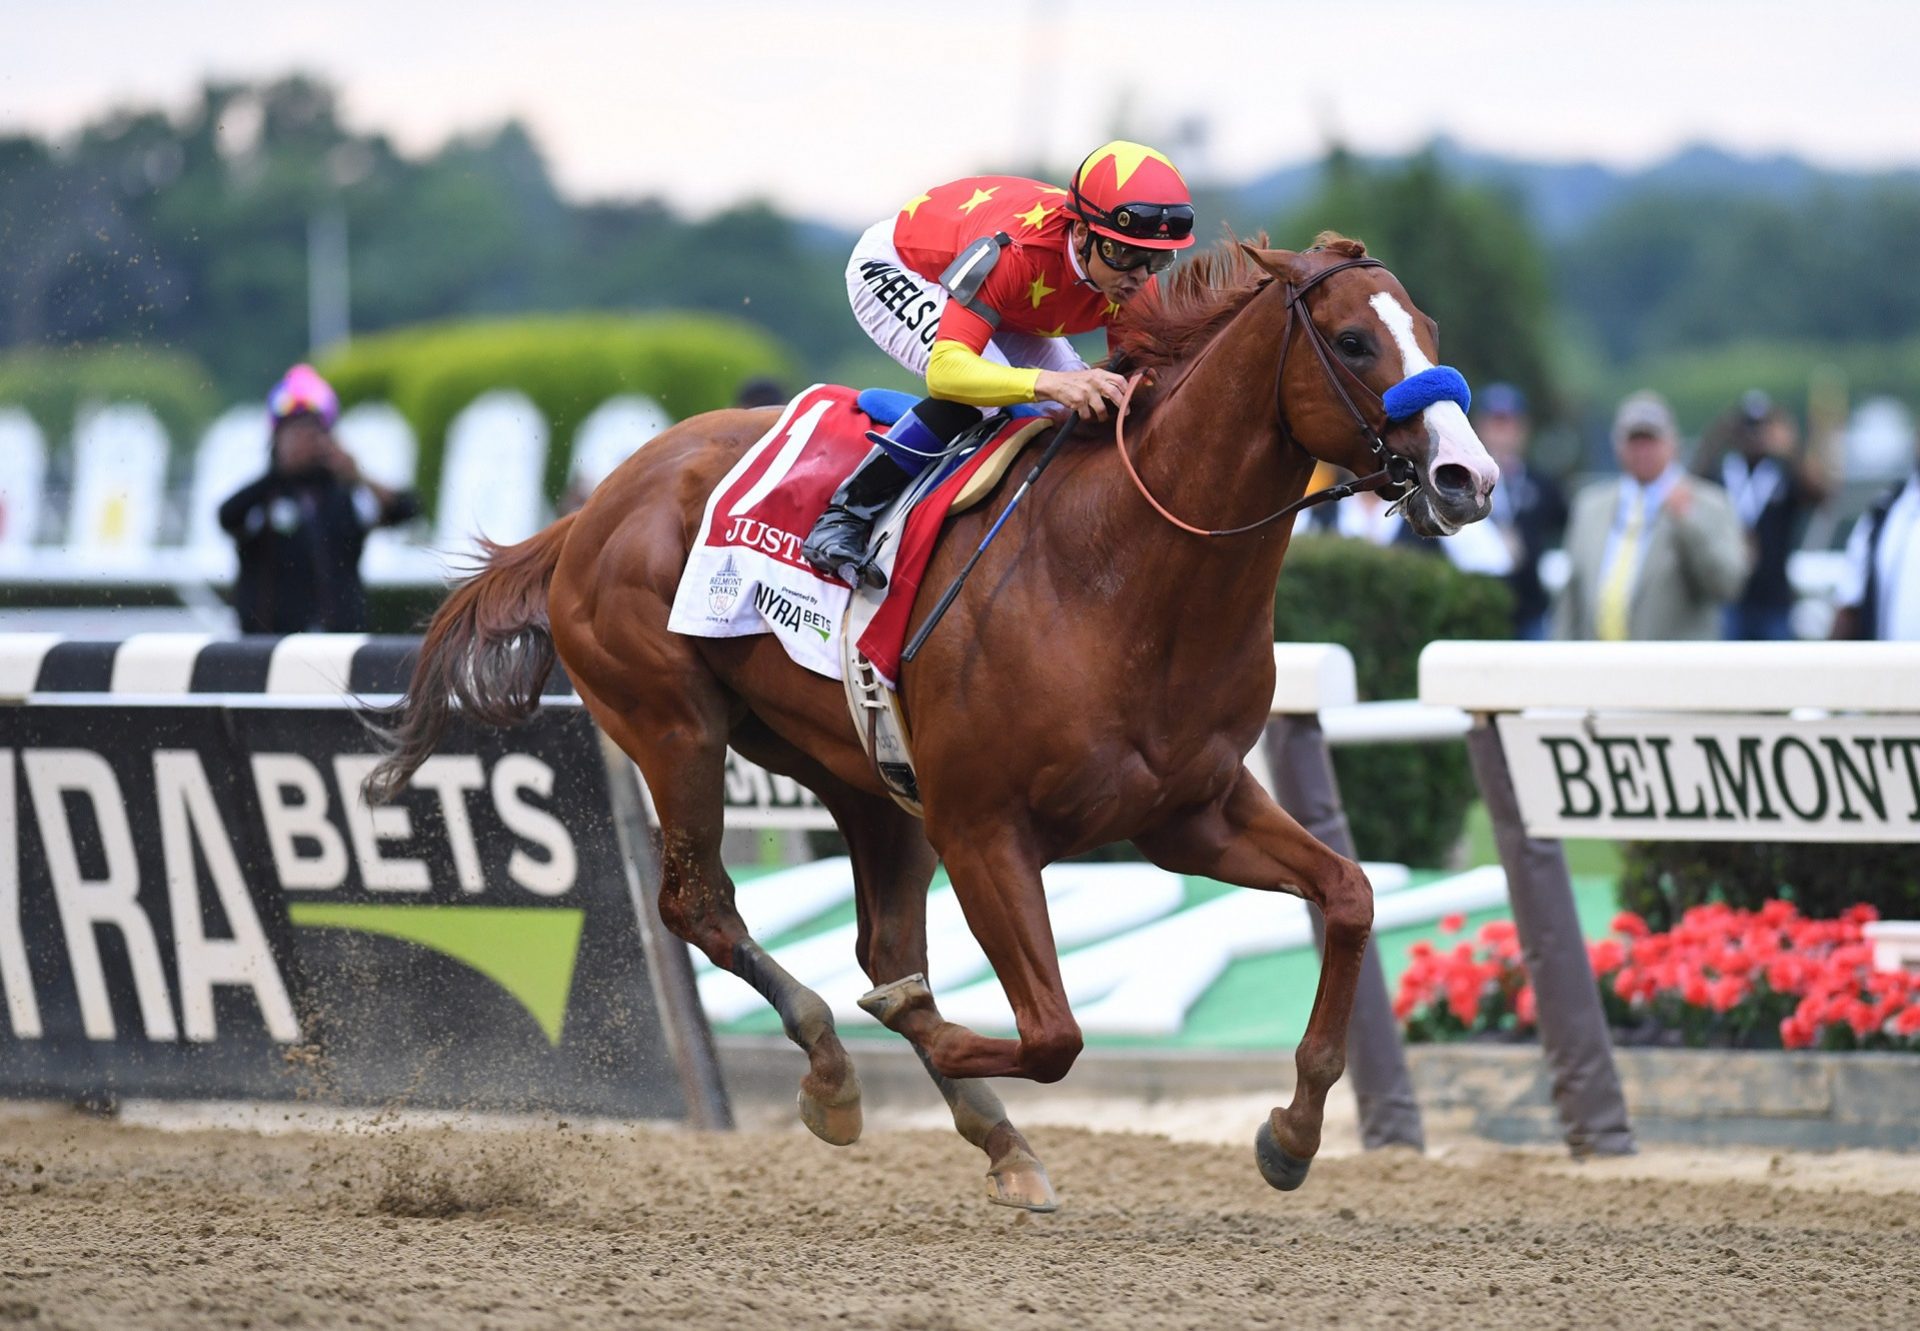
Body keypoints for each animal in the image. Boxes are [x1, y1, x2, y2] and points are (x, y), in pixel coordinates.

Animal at [360, 233, 1497, 1206]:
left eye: (1433, 330)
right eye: (1352, 340)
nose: (1468, 476)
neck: (1122, 570)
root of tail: (594, 504)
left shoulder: (1191, 811)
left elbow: (1349, 895)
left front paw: (1292, 1134)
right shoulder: (985, 828)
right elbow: (1052, 1032)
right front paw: (922, 1030)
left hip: (862, 776)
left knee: (876, 941)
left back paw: (990, 1131)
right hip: (673, 725)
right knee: (702, 904)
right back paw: (834, 1068)